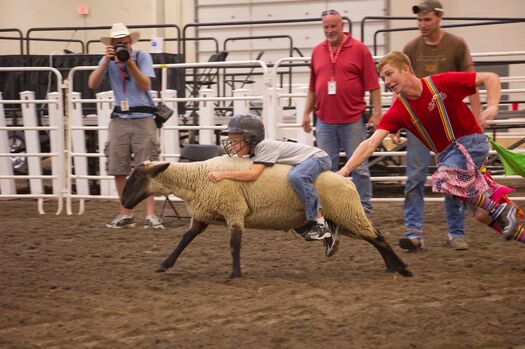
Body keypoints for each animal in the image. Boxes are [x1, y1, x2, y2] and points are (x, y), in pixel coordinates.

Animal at [123, 156, 414, 278]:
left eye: (136, 177)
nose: (124, 202)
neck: (196, 178)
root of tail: (346, 180)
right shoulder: (204, 216)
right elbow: (184, 239)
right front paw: (164, 265)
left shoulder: (234, 211)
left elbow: (234, 245)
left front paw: (235, 274)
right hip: (347, 218)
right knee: (376, 238)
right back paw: (392, 267)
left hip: (348, 212)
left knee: (378, 237)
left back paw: (403, 268)